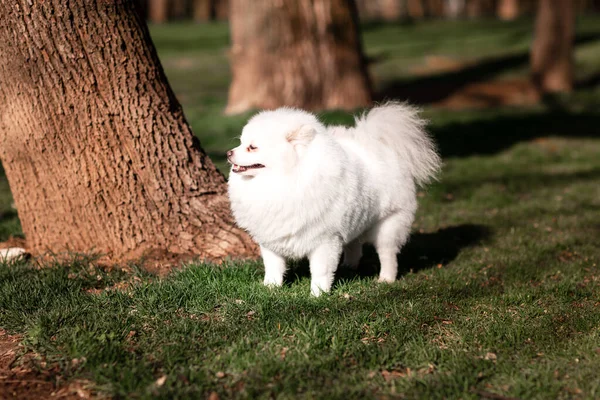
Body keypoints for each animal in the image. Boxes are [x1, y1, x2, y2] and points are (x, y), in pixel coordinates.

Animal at [227, 102, 438, 296]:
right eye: (241, 143)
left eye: (252, 147)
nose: (229, 153)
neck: (285, 179)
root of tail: (381, 145)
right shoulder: (271, 238)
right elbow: (273, 267)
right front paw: (270, 287)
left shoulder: (324, 239)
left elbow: (320, 271)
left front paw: (318, 294)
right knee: (354, 245)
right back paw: (349, 266)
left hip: (388, 223)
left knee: (387, 253)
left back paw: (386, 278)